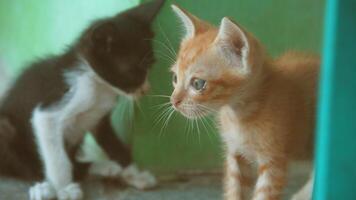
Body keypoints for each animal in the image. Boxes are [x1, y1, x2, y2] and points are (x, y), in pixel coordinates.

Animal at [0, 0, 165, 199]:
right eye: (135, 72)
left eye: (151, 66)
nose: (146, 89)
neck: (98, 85)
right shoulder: (50, 111)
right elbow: (58, 159)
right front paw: (63, 187)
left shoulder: (100, 119)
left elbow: (115, 145)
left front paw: (134, 174)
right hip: (5, 127)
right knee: (28, 165)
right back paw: (44, 186)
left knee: (76, 164)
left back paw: (106, 167)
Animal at [171, 4, 318, 200]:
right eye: (175, 78)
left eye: (197, 84)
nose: (173, 101)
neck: (239, 115)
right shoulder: (236, 155)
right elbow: (235, 190)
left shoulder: (273, 161)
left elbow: (264, 195)